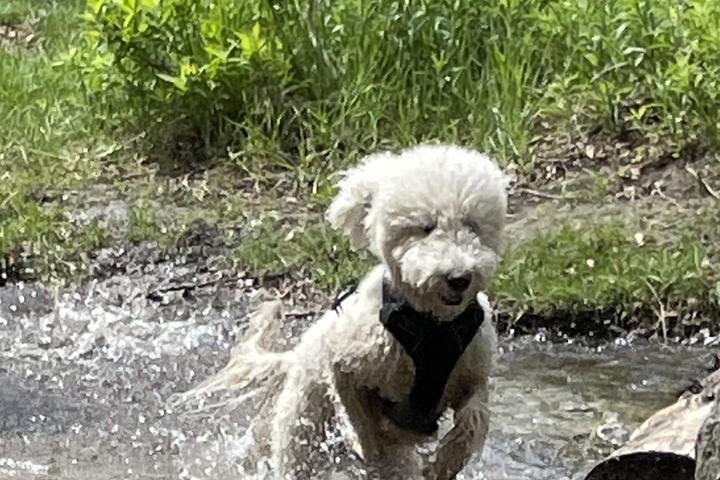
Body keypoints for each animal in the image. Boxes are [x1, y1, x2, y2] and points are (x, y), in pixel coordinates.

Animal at [188, 143, 510, 480]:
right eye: (426, 228)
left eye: (471, 225)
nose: (459, 277)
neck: (433, 326)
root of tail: (295, 356)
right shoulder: (348, 359)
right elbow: (354, 411)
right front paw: (366, 440)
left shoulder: (473, 373)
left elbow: (475, 417)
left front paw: (444, 461)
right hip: (300, 434)